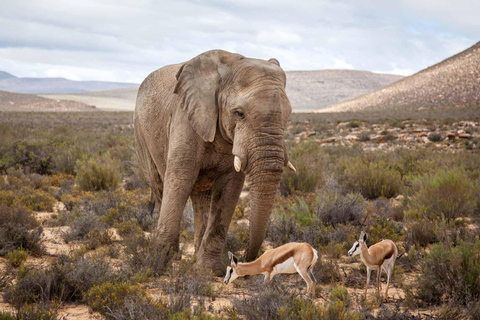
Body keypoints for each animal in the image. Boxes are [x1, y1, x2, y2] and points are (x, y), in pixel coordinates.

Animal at [133, 49, 294, 276]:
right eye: (239, 113)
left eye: (288, 115)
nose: (242, 258)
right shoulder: (185, 116)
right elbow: (180, 179)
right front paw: (157, 266)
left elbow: (229, 189)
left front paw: (207, 271)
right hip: (141, 130)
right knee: (160, 186)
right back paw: (173, 256)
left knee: (199, 198)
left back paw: (194, 257)